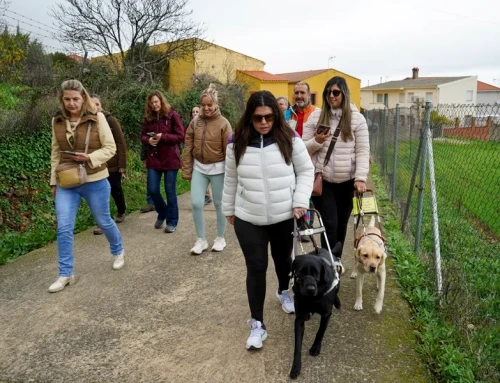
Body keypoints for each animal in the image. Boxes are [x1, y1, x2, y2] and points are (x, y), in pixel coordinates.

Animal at [292, 242, 342, 380]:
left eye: (317, 273)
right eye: (300, 272)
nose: (310, 289)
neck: (312, 299)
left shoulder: (326, 314)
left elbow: (320, 332)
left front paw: (315, 348)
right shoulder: (299, 318)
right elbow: (297, 345)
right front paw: (296, 366)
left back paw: (337, 302)